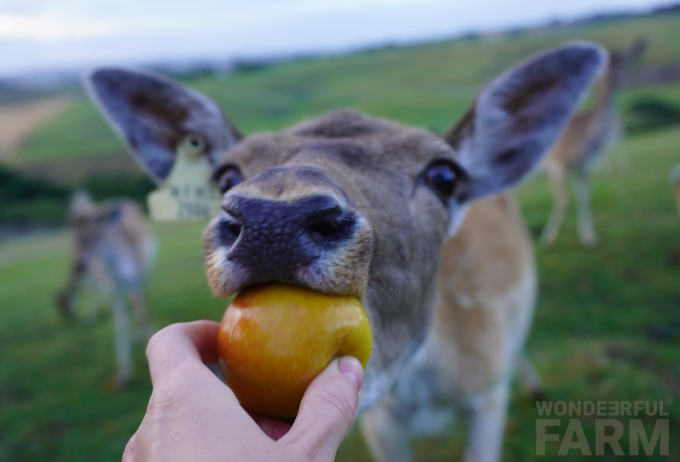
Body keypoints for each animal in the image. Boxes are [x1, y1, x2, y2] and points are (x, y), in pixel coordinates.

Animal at [56, 189, 157, 388]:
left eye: (98, 237)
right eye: (78, 240)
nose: (80, 265)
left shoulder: (140, 274)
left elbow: (143, 307)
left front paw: (148, 337)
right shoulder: (113, 288)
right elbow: (120, 322)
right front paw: (124, 375)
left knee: (139, 301)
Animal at [86, 41, 604, 460]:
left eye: (444, 175)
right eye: (226, 175)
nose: (272, 222)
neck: (422, 391)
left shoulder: (486, 398)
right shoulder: (381, 421)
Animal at [540, 38, 644, 247]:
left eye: (622, 62)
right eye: (604, 66)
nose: (616, 79)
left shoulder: (582, 166)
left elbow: (584, 197)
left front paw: (589, 237)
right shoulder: (557, 163)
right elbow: (563, 200)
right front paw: (549, 237)